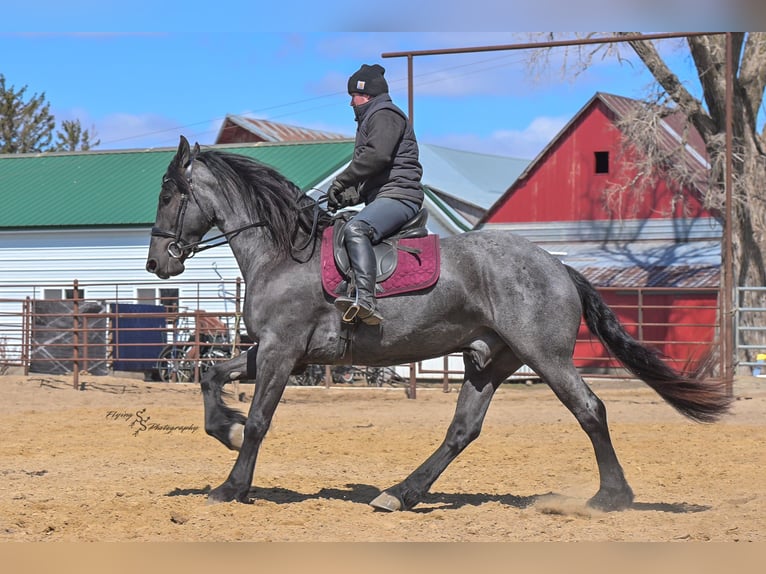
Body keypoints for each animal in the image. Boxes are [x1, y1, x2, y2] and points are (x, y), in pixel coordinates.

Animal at [145, 136, 732, 512]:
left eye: (169, 193)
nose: (156, 264)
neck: (284, 252)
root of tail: (556, 265)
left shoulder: (282, 351)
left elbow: (261, 421)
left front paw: (232, 485)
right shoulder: (270, 349)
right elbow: (210, 375)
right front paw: (224, 428)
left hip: (544, 356)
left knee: (589, 410)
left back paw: (610, 498)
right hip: (491, 361)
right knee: (462, 430)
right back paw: (400, 495)